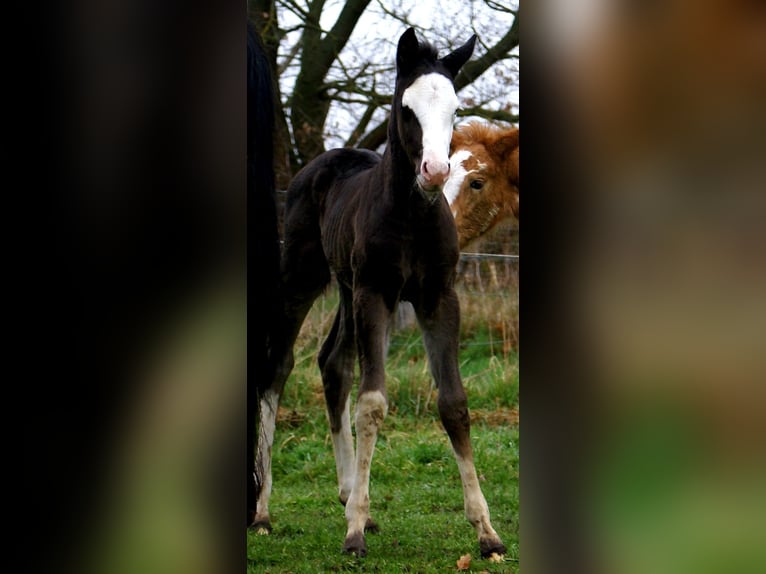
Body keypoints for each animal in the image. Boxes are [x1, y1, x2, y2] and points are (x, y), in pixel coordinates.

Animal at [254, 27, 507, 559]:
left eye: (455, 109)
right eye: (406, 107)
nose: (435, 171)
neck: (413, 216)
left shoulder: (437, 298)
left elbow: (454, 403)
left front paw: (487, 532)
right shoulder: (377, 293)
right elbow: (372, 403)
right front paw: (352, 533)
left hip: (347, 289)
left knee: (333, 363)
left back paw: (350, 494)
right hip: (304, 279)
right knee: (277, 369)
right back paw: (264, 511)